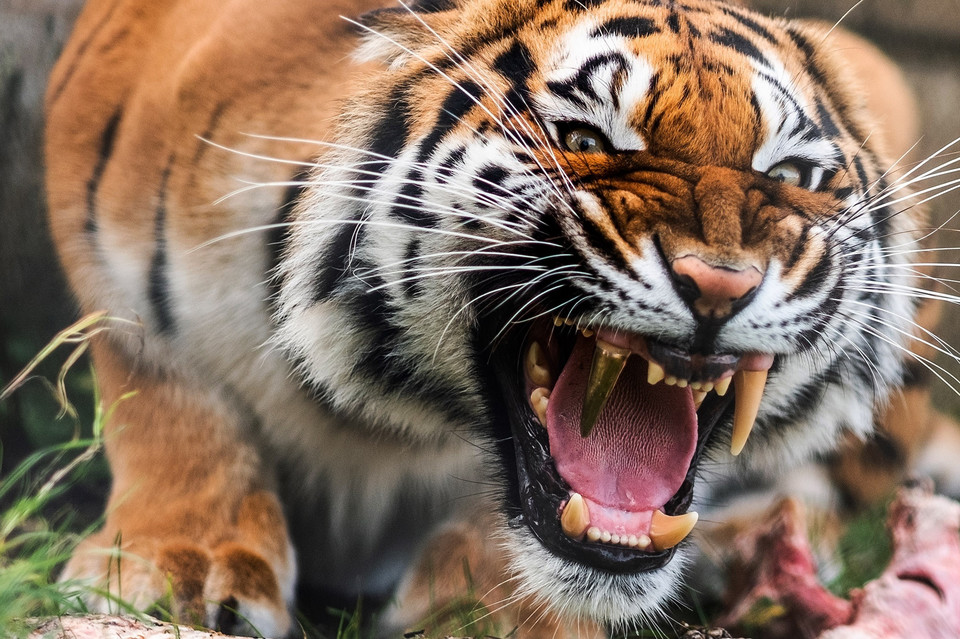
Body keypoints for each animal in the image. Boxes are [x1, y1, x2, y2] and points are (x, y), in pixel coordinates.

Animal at [43, 0, 952, 636]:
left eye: (791, 174)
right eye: (585, 139)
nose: (720, 284)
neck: (366, 425)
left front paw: (494, 612)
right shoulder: (103, 231)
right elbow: (172, 399)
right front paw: (180, 567)